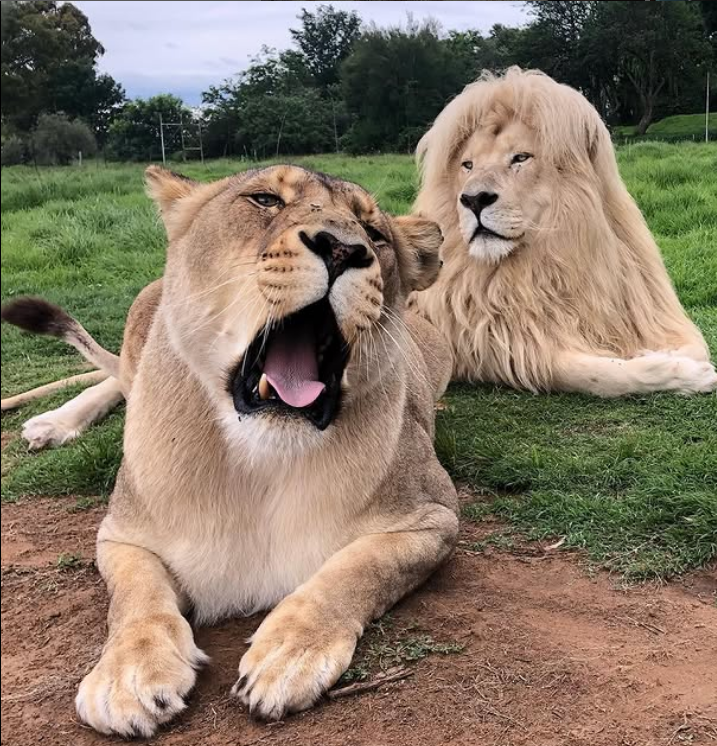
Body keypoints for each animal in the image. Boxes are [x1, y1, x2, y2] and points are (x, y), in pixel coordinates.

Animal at [1, 165, 458, 736]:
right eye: (264, 199)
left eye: (375, 234)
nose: (342, 249)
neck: (257, 460)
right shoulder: (122, 535)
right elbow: (135, 600)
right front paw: (128, 676)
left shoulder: (433, 517)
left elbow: (355, 570)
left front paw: (288, 655)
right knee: (115, 378)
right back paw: (51, 423)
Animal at [410, 67, 717, 396]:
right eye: (467, 165)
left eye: (520, 158)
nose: (473, 199)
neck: (548, 260)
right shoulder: (499, 347)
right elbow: (600, 374)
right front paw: (688, 373)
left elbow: (695, 344)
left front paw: (668, 354)